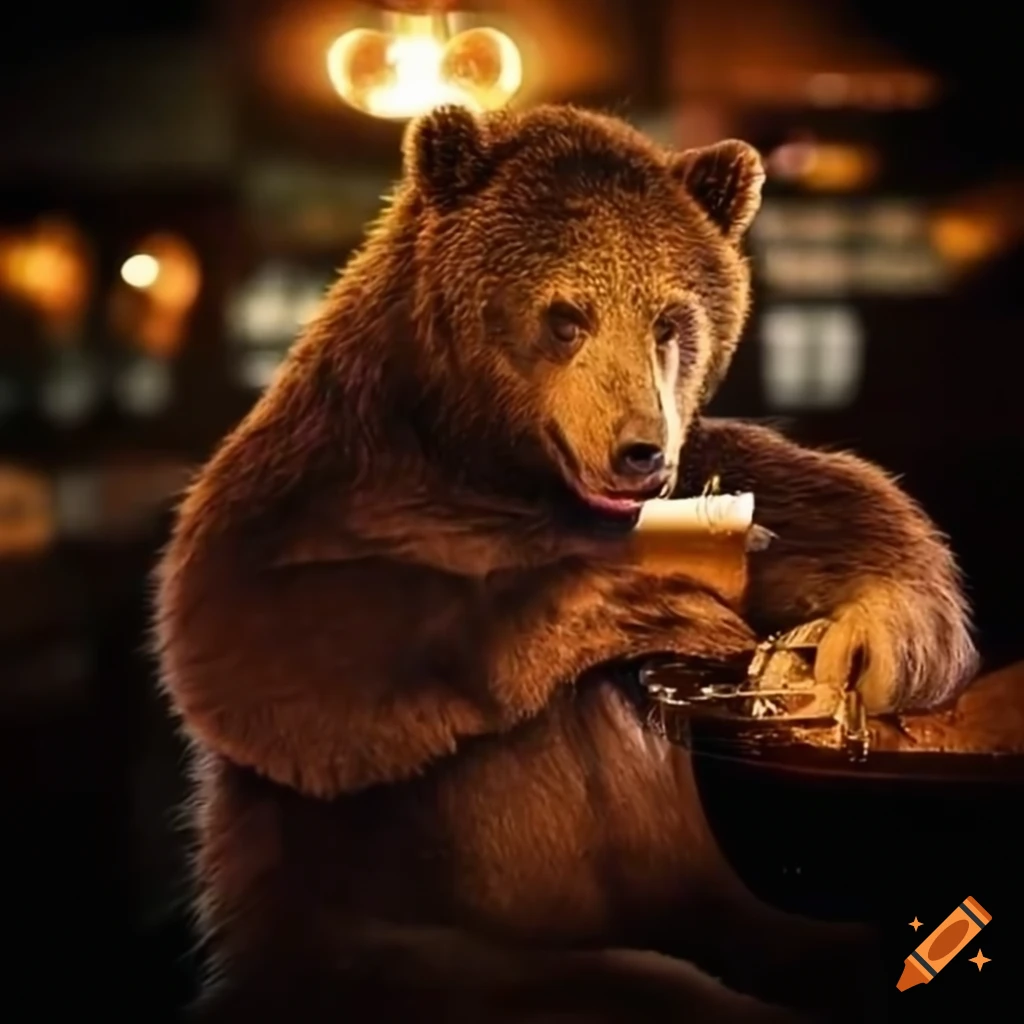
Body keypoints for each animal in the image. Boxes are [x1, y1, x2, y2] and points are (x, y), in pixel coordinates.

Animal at [155, 104, 978, 1022]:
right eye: (565, 316)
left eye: (669, 320)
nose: (639, 452)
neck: (493, 467)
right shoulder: (314, 485)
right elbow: (262, 642)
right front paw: (632, 603)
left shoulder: (722, 474)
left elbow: (848, 514)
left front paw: (851, 649)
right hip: (408, 952)